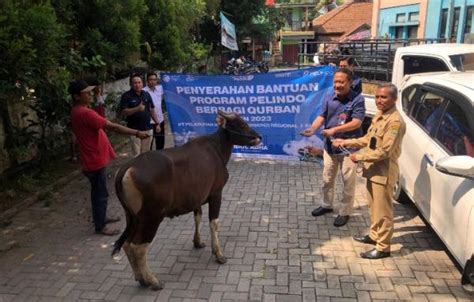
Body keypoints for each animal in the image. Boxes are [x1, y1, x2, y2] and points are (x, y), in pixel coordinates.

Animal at [111, 111, 262, 290]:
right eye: (241, 124)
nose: (258, 137)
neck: (217, 150)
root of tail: (126, 169)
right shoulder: (216, 193)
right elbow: (214, 223)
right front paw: (219, 254)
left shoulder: (197, 197)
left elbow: (198, 217)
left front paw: (198, 242)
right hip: (151, 217)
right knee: (138, 247)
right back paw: (153, 281)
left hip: (132, 217)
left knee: (127, 244)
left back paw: (140, 278)